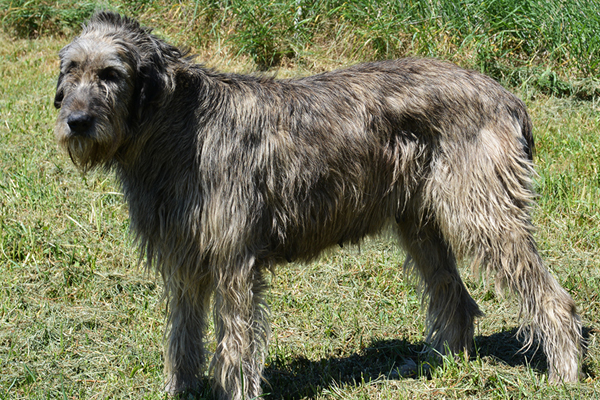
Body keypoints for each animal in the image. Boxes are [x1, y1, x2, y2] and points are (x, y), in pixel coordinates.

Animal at [54, 11, 580, 400]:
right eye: (71, 70)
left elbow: (235, 343)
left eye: (111, 74)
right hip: (420, 224)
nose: (76, 121)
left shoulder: (234, 263)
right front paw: (180, 390)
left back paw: (565, 369)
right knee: (456, 296)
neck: (178, 125)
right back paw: (440, 363)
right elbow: (183, 335)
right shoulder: (184, 259)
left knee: (552, 297)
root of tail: (505, 95)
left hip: (482, 214)